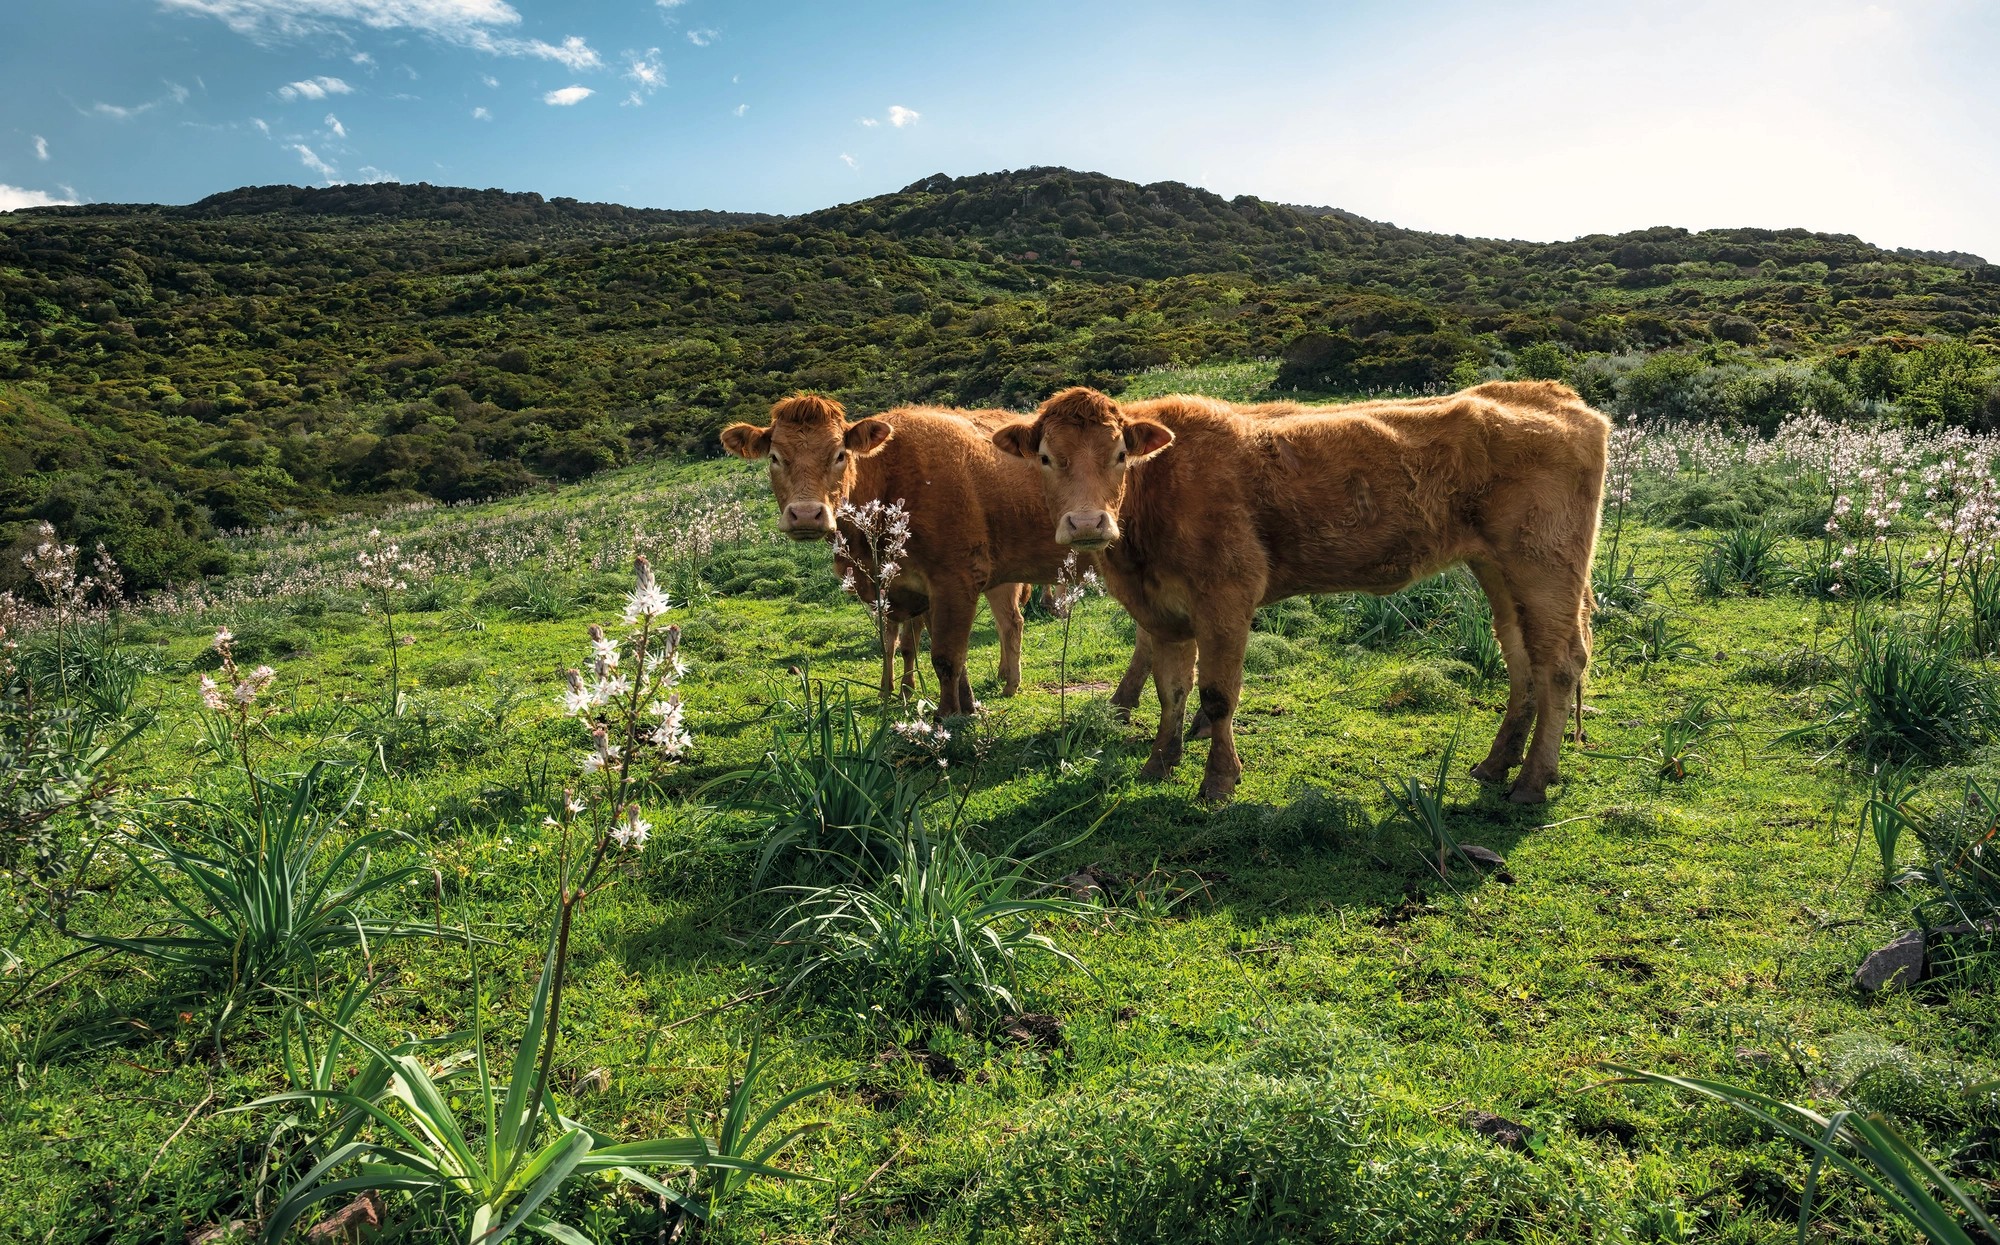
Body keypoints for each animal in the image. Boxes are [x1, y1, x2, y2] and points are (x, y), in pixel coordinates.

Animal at [722, 395, 1082, 715]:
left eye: (839, 454)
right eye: (774, 457)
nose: (807, 515)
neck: (889, 479)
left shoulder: (953, 582)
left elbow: (945, 655)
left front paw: (947, 716)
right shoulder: (904, 593)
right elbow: (915, 647)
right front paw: (956, 704)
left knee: (1010, 623)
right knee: (1010, 622)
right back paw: (1006, 679)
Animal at [992, 382, 1609, 805]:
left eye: (1120, 455)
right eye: (1046, 458)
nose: (1087, 523)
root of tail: (1553, 395)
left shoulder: (1227, 597)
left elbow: (1217, 694)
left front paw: (1218, 780)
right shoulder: (1162, 612)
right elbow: (1172, 691)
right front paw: (1158, 764)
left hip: (1544, 565)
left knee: (1559, 663)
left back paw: (1531, 781)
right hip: (1500, 569)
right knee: (1522, 657)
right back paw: (1497, 764)